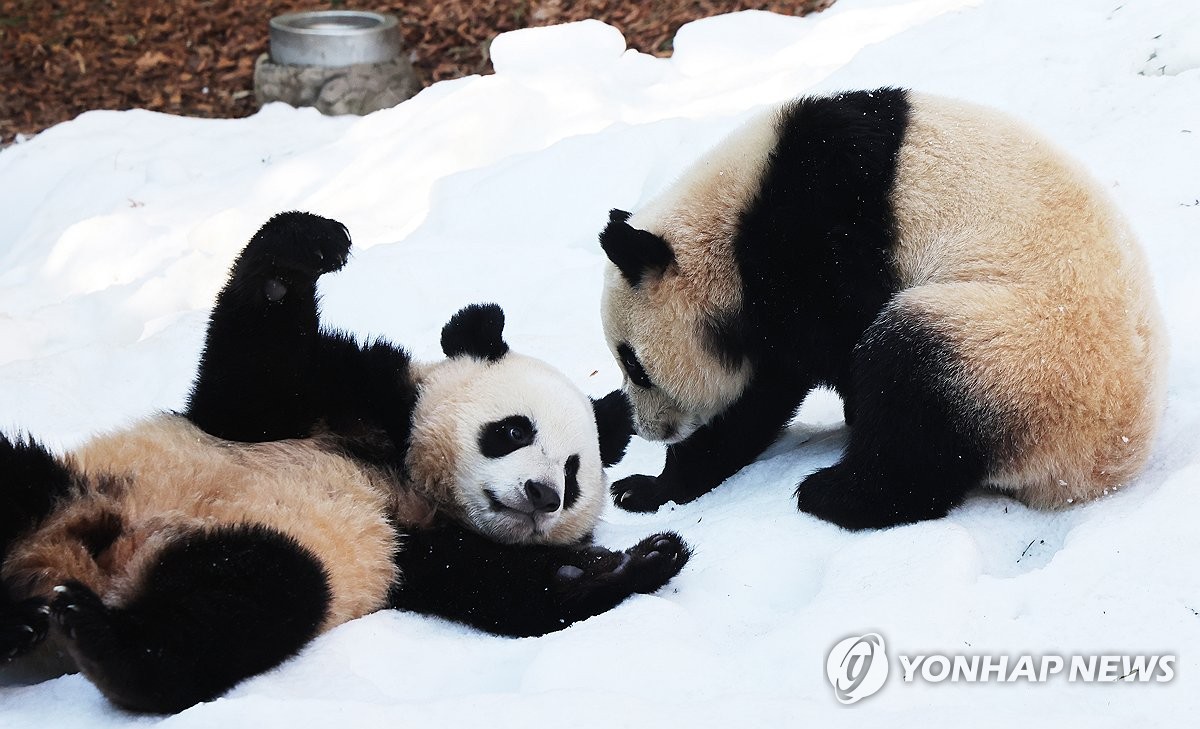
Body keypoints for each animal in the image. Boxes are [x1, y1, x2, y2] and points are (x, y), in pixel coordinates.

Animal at [0, 211, 691, 709]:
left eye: (574, 473)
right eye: (514, 430)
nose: (543, 495)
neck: (408, 482)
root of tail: (69, 561)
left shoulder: (415, 553)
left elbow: (514, 592)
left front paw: (640, 559)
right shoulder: (344, 396)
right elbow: (246, 385)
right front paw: (307, 247)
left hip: (245, 550)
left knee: (251, 596)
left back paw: (95, 641)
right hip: (79, 480)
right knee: (20, 474)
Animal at [597, 86, 1161, 529]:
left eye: (635, 365)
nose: (648, 428)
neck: (727, 221)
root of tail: (1105, 466)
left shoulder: (813, 241)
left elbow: (787, 374)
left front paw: (650, 483)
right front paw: (647, 485)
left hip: (1023, 354)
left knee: (915, 386)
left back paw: (833, 494)